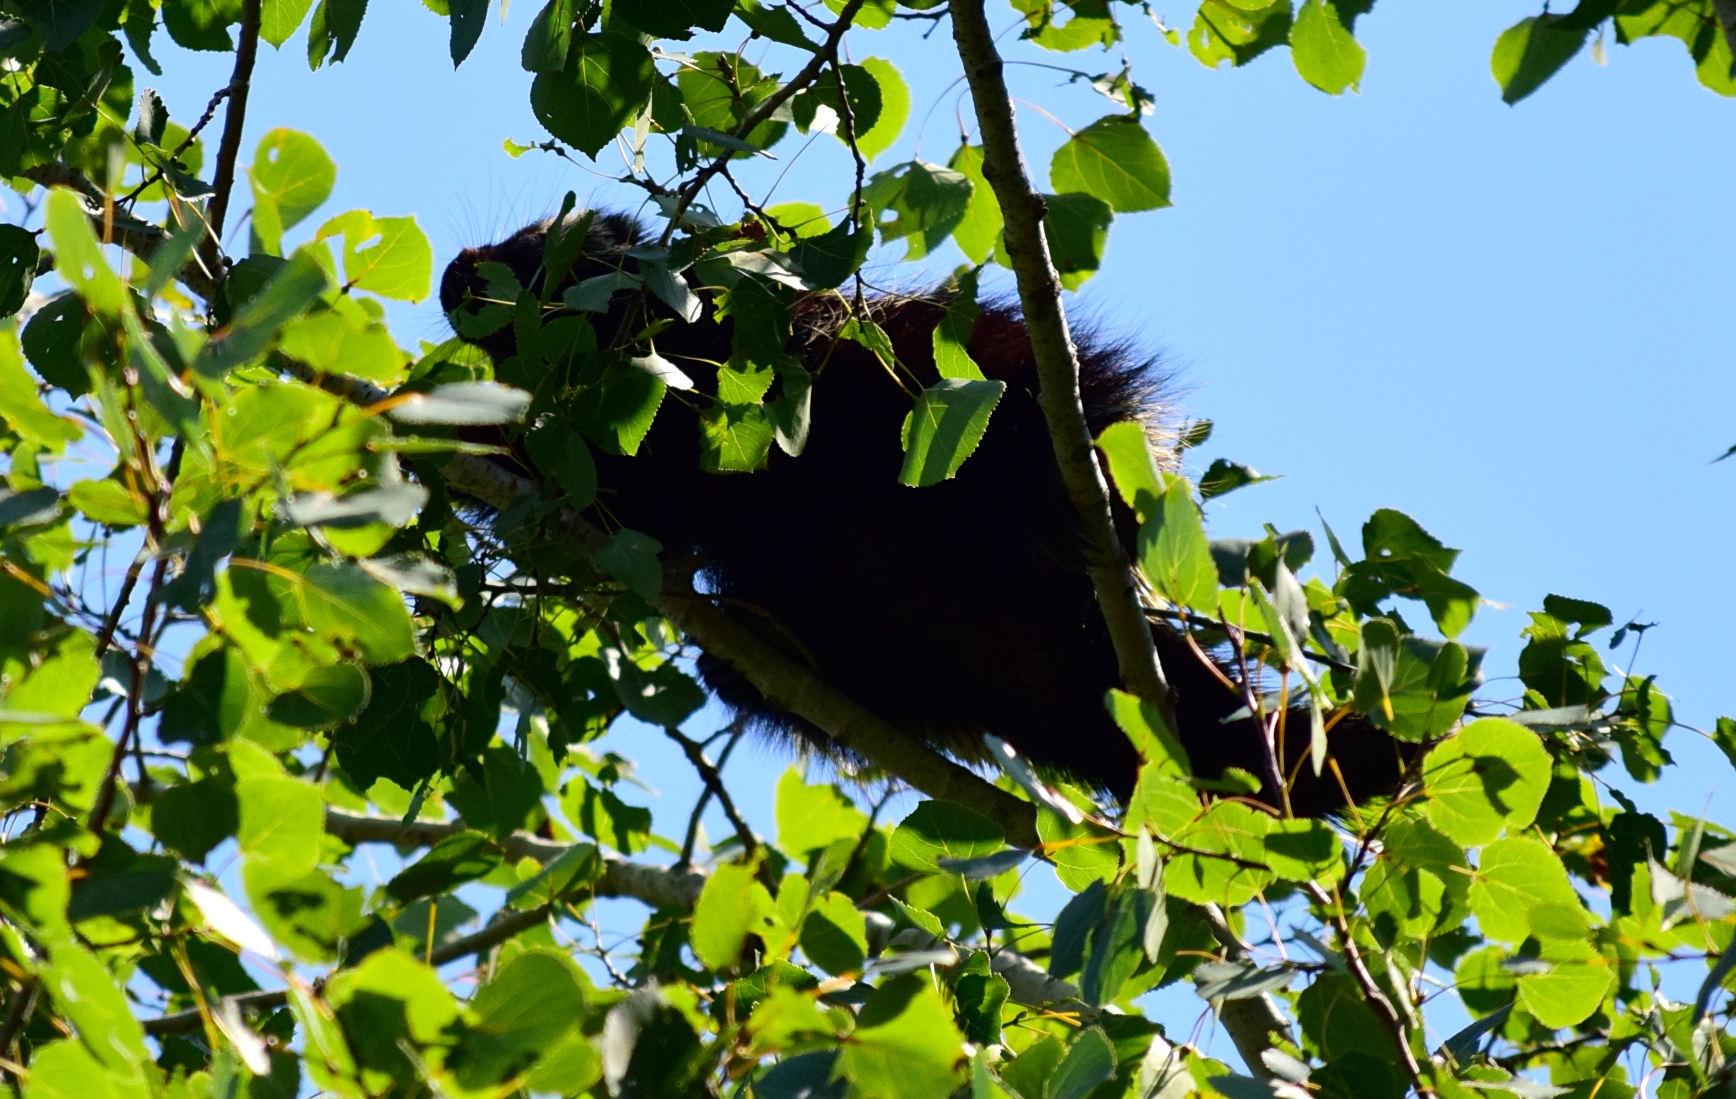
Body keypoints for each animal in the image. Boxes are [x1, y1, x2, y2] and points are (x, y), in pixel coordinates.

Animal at [436, 209, 1413, 817]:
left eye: (538, 245)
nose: (455, 274)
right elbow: (618, 498)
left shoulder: (777, 337)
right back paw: (759, 663)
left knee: (1052, 405)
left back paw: (1077, 501)